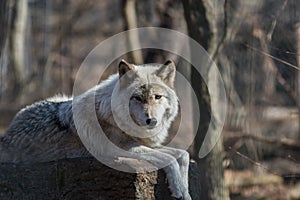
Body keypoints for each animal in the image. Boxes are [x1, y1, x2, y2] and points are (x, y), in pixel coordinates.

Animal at [0, 59, 191, 200]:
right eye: (136, 98)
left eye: (157, 97)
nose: (151, 120)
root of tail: (8, 132)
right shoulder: (123, 148)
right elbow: (169, 159)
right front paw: (178, 189)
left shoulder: (148, 145)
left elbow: (183, 155)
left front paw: (185, 190)